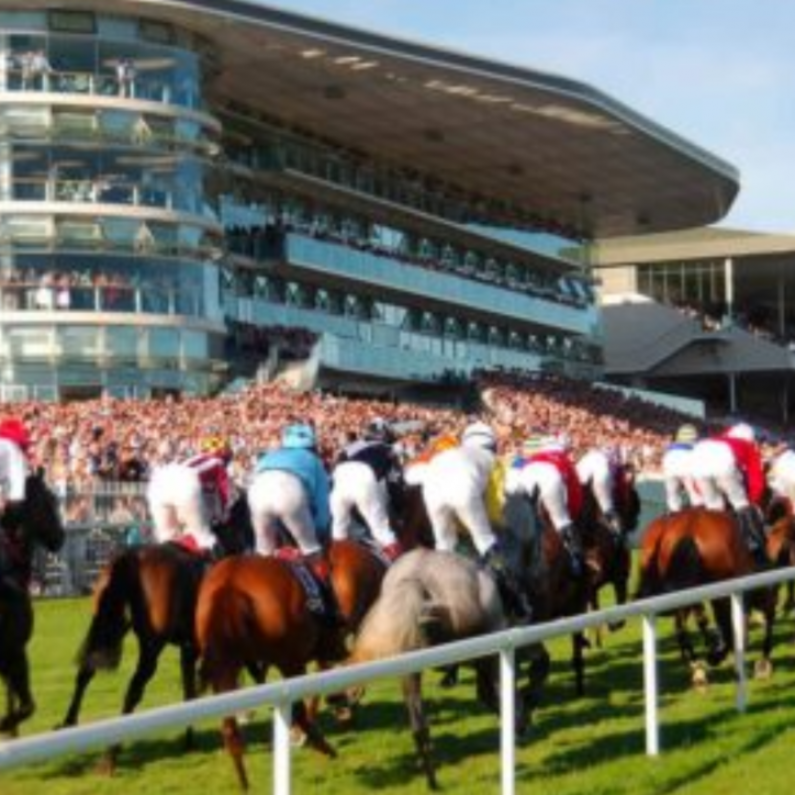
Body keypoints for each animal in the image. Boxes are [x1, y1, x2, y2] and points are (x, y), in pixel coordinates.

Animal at [197, 536, 388, 792]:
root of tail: (230, 584)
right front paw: (342, 706)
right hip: (289, 660)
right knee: (300, 708)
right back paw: (323, 742)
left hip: (225, 664)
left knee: (229, 726)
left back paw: (245, 781)